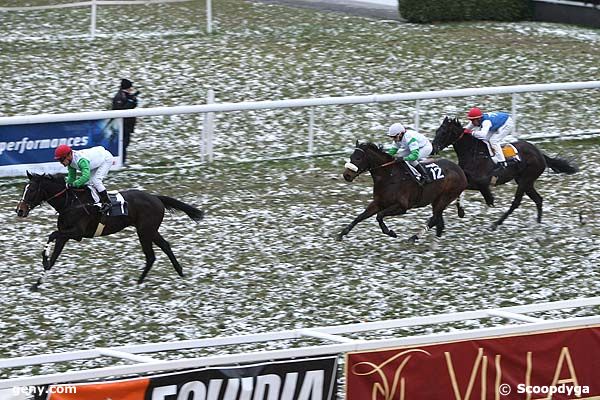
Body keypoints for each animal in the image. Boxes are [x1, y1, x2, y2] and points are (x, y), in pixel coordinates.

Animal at [15, 173, 205, 290]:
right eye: (24, 189)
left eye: (31, 190)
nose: (20, 210)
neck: (71, 203)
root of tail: (156, 197)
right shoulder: (65, 234)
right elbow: (53, 257)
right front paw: (37, 283)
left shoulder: (77, 233)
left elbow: (51, 235)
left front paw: (44, 260)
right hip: (149, 230)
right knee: (165, 246)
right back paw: (179, 272)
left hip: (145, 231)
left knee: (151, 255)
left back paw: (139, 282)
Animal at [434, 115, 580, 228]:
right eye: (437, 131)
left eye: (443, 133)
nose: (434, 147)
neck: (475, 154)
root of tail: (540, 154)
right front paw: (461, 211)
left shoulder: (481, 182)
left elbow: (474, 189)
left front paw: (489, 199)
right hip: (525, 181)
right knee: (538, 199)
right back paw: (538, 223)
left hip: (525, 180)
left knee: (516, 203)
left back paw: (496, 223)